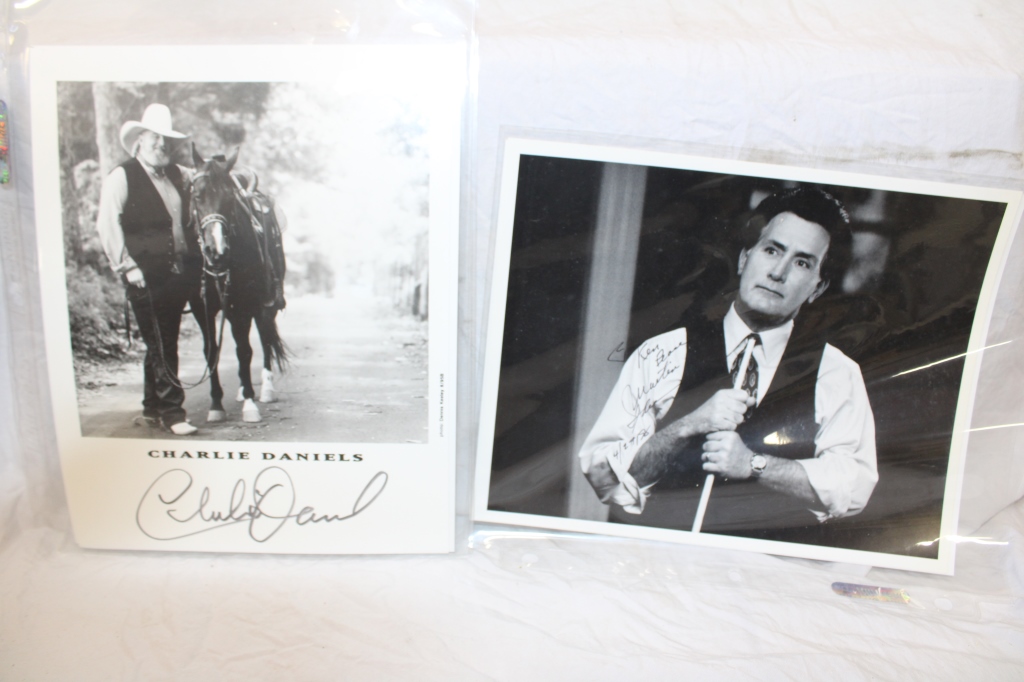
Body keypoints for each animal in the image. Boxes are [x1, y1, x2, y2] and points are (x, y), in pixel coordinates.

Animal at [190, 145, 287, 424]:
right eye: (197, 195)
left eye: (229, 199)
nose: (216, 251)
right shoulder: (203, 308)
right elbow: (211, 351)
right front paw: (216, 405)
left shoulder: (243, 306)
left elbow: (245, 350)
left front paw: (251, 405)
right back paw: (244, 390)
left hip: (264, 305)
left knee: (264, 338)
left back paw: (265, 390)